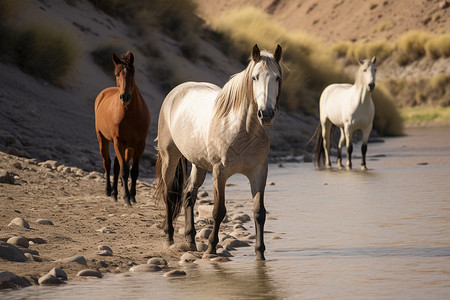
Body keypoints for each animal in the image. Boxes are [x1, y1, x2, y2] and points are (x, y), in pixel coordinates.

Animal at [94, 51, 151, 206]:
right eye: (116, 74)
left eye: (132, 72)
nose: (125, 97)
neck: (130, 114)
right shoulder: (119, 142)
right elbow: (124, 171)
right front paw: (126, 198)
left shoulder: (140, 144)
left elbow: (134, 170)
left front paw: (133, 196)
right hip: (103, 139)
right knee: (107, 163)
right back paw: (109, 191)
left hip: (128, 147)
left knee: (116, 165)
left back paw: (115, 193)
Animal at [155, 44, 282, 260]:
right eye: (254, 77)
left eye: (277, 78)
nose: (266, 114)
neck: (242, 129)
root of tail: (176, 92)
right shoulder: (219, 172)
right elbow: (218, 211)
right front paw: (211, 248)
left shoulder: (259, 173)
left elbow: (259, 212)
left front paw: (260, 253)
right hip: (169, 157)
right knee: (169, 194)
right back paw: (170, 238)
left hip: (197, 164)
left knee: (188, 195)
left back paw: (191, 240)